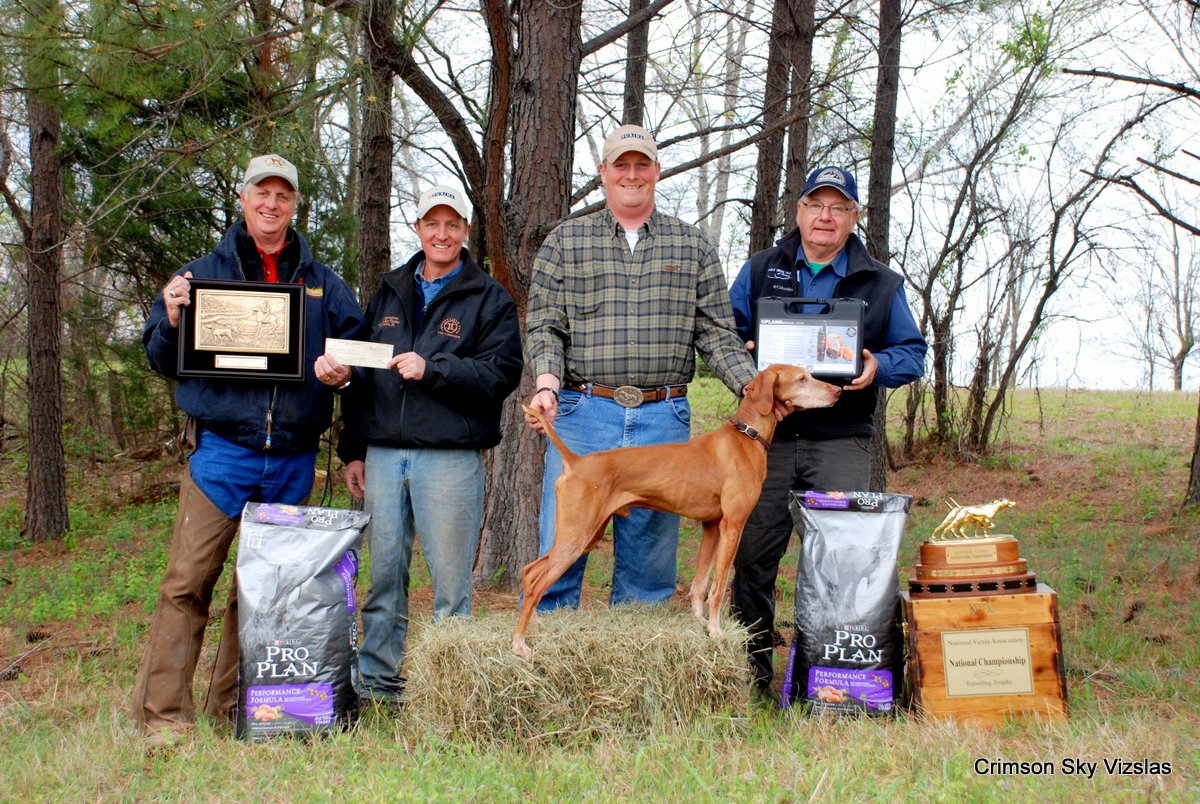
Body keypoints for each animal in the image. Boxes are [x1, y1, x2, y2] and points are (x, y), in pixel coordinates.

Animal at [511, 367, 840, 662]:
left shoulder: (712, 527)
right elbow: (718, 587)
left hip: (587, 534)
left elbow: (699, 584)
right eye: (802, 378)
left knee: (531, 571)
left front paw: (700, 623)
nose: (837, 391)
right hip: (577, 536)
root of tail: (576, 461)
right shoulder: (733, 526)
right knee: (539, 580)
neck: (746, 437)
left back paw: (535, 623)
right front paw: (716, 631)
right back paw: (518, 644)